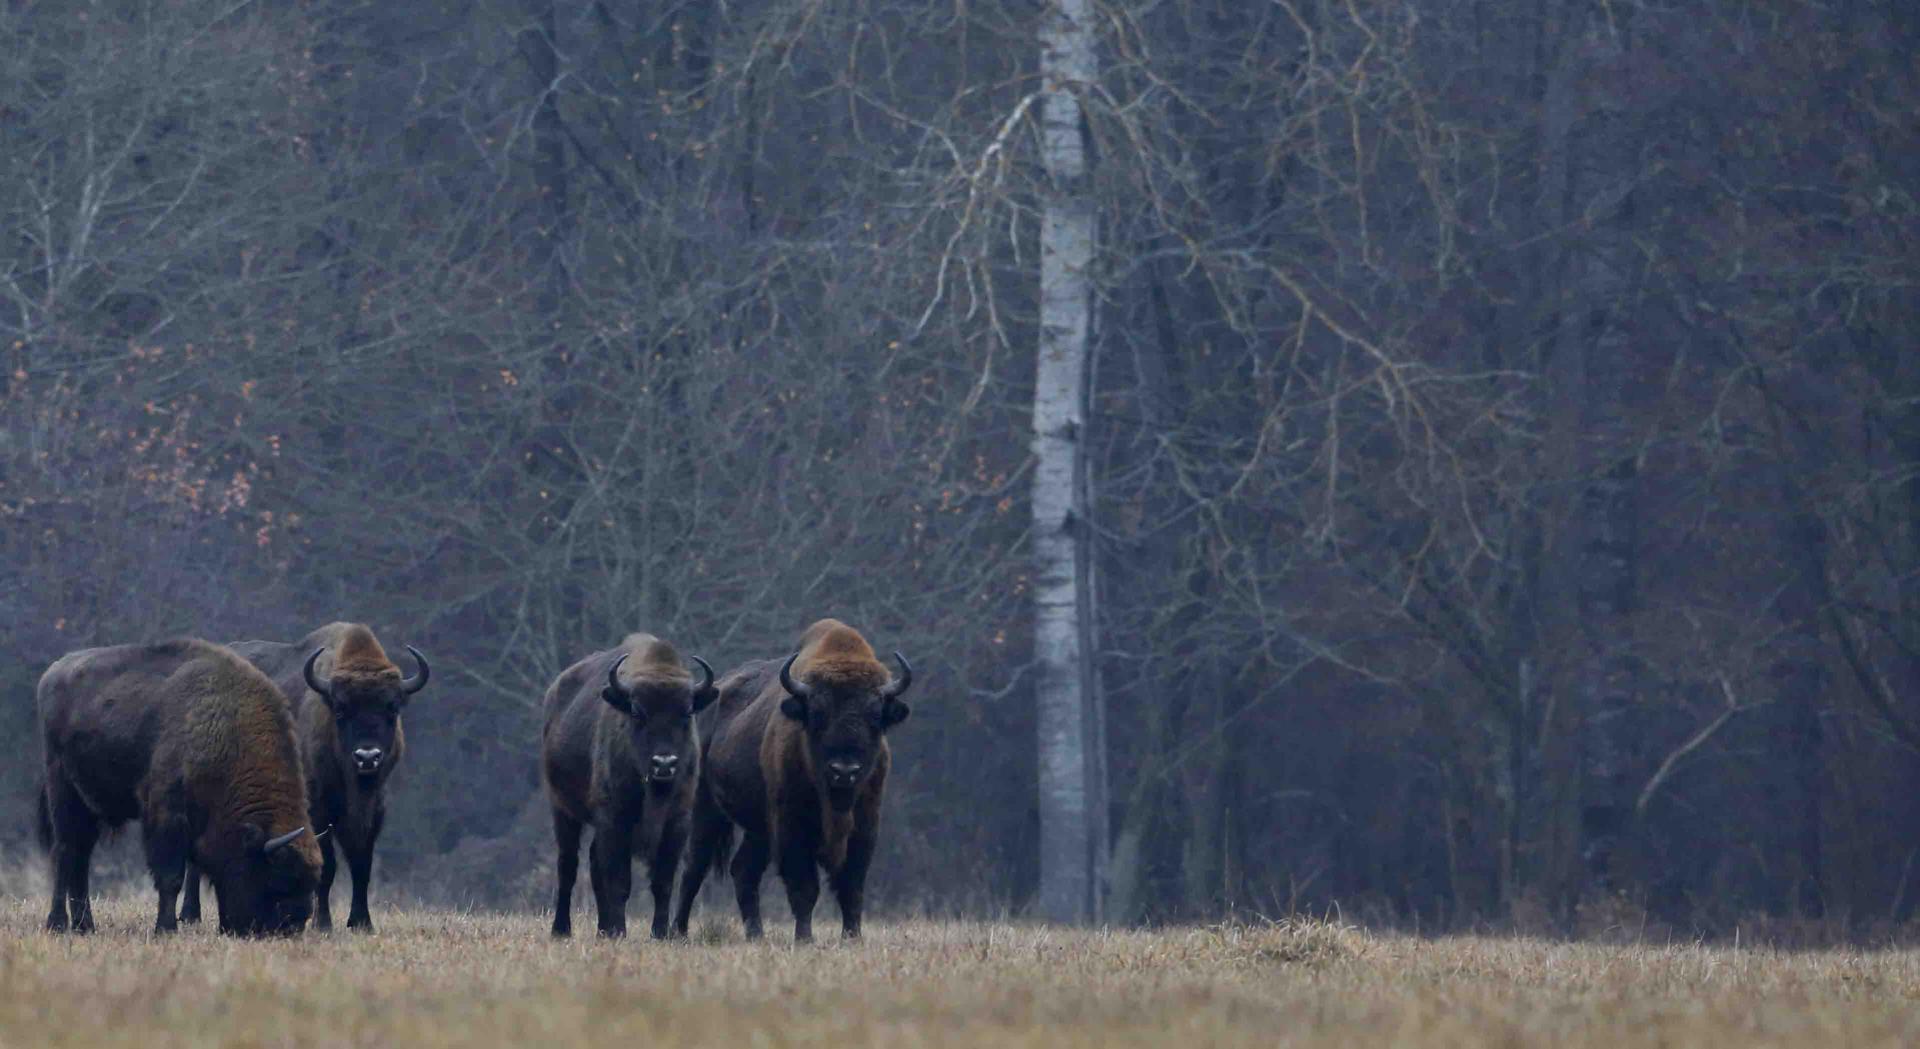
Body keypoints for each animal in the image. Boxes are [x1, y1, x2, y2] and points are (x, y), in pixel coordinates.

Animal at [35, 637, 320, 929]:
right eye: (278, 878)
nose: (295, 923)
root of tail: (52, 673)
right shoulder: (167, 815)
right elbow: (171, 877)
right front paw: (166, 927)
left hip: (89, 808)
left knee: (80, 859)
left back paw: (85, 927)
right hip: (63, 794)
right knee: (65, 853)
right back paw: (57, 923)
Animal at [179, 614, 428, 926]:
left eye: (392, 708)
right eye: (341, 709)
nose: (367, 757)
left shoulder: (374, 811)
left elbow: (362, 865)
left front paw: (361, 922)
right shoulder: (318, 811)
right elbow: (328, 865)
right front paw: (323, 924)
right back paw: (190, 914)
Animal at [541, 634, 721, 933]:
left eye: (686, 712)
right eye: (637, 712)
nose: (664, 763)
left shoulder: (677, 822)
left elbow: (663, 883)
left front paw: (659, 933)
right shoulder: (615, 820)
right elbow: (619, 881)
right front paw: (619, 931)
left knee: (592, 863)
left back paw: (602, 929)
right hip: (562, 809)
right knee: (568, 865)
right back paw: (562, 929)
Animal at [675, 614, 913, 933]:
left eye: (875, 716)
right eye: (818, 713)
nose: (844, 771)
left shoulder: (865, 825)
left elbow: (851, 886)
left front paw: (852, 936)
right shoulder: (791, 825)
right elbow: (804, 886)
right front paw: (805, 937)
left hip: (759, 828)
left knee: (743, 870)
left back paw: (756, 934)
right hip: (707, 809)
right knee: (694, 866)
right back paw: (677, 931)